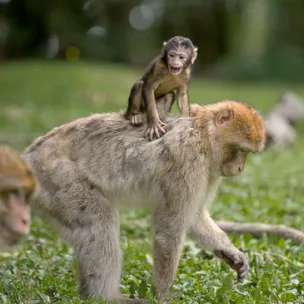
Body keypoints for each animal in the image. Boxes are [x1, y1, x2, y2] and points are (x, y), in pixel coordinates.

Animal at [22, 98, 264, 302]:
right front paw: (162, 296)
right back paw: (105, 297)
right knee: (99, 221)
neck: (203, 132)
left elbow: (193, 217)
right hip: (56, 178)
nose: (240, 168)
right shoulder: (188, 156)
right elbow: (169, 232)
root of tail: (28, 156)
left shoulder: (211, 171)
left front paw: (230, 252)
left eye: (247, 154)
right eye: (241, 150)